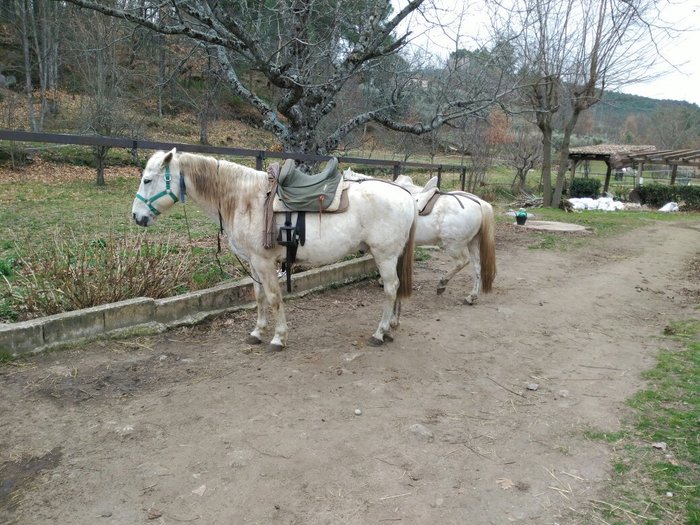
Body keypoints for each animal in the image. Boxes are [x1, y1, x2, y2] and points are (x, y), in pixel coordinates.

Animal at [131, 149, 416, 350]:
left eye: (147, 179)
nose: (136, 216)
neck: (244, 199)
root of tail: (406, 195)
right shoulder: (253, 263)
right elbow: (258, 297)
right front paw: (257, 332)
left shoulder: (264, 262)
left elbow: (273, 297)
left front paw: (279, 338)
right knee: (397, 288)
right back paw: (391, 328)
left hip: (385, 256)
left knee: (391, 288)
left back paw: (379, 333)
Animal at [348, 170, 494, 304]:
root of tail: (479, 203)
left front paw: (383, 281)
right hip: (472, 243)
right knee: (477, 267)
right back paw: (472, 296)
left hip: (454, 246)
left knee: (462, 262)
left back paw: (442, 283)